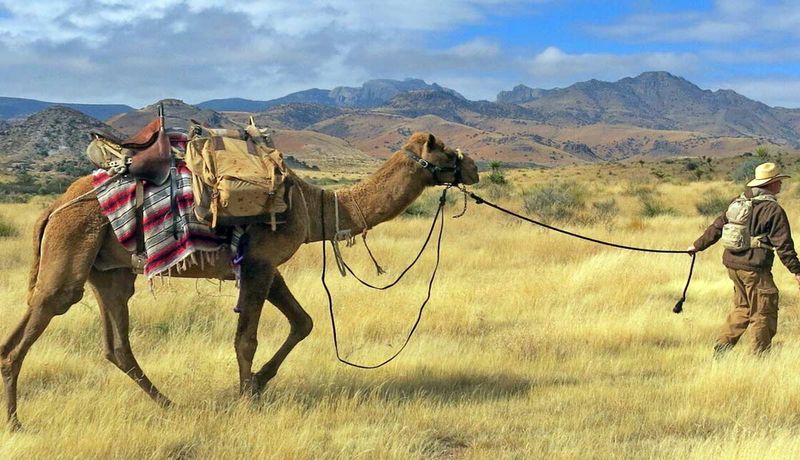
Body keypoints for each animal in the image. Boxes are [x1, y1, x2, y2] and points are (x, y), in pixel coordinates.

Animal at [0, 132, 479, 430]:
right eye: (443, 152)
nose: (472, 166)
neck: (315, 206)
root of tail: (54, 206)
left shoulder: (269, 266)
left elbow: (303, 322)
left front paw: (260, 384)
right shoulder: (258, 263)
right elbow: (246, 338)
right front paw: (246, 397)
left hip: (109, 272)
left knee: (116, 344)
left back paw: (170, 405)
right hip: (70, 250)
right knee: (32, 329)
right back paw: (16, 421)